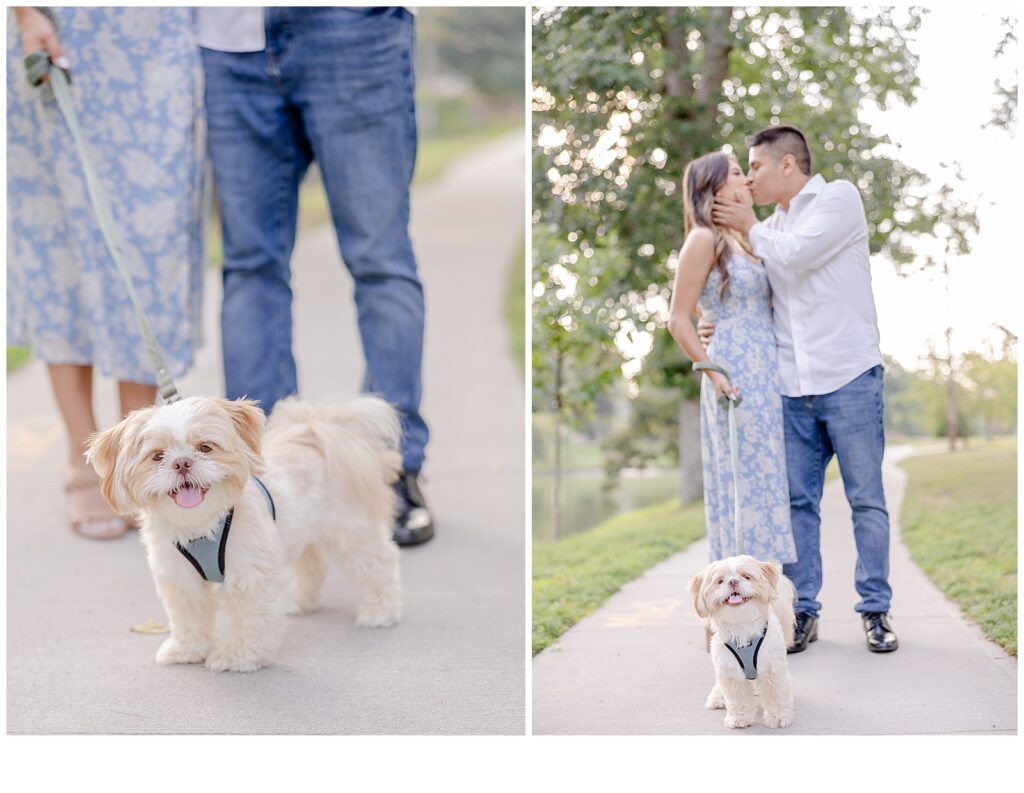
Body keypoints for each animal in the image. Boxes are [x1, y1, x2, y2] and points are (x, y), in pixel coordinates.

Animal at [86, 393, 401, 672]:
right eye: (157, 456)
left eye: (205, 447)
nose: (182, 463)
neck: (202, 526)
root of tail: (315, 432)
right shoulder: (180, 578)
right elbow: (189, 617)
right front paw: (187, 649)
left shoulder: (248, 575)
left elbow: (246, 618)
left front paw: (237, 656)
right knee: (313, 564)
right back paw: (299, 601)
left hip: (350, 530)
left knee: (378, 562)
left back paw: (380, 611)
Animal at [692, 557, 794, 729]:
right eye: (720, 581)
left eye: (746, 577)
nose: (733, 581)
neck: (741, 626)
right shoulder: (731, 671)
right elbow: (738, 699)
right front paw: (739, 718)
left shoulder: (771, 669)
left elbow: (775, 695)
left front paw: (778, 717)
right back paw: (717, 698)